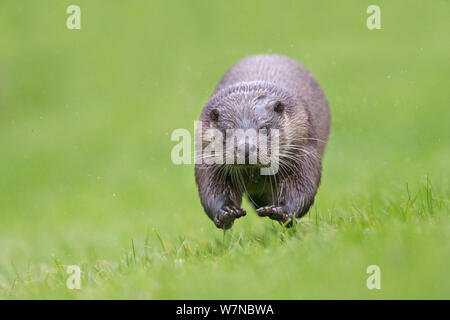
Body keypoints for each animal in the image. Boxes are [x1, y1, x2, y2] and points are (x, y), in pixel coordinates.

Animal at [194, 55, 330, 230]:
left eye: (264, 128)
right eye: (227, 132)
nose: (246, 148)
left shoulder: (302, 148)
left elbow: (302, 185)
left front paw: (281, 211)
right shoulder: (207, 159)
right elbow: (211, 188)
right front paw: (226, 212)